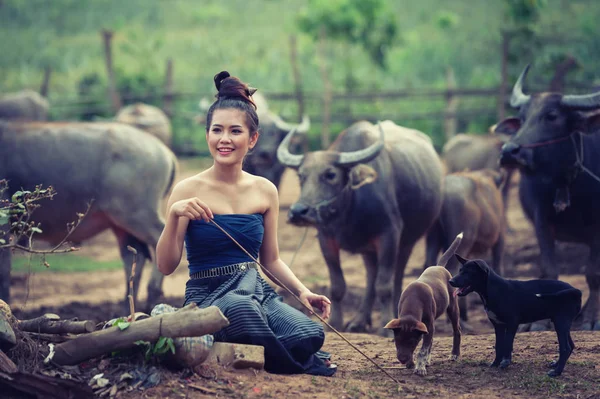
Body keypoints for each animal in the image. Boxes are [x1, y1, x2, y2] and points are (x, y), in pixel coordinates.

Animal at [0, 121, 178, 310]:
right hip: (120, 223)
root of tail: (164, 151)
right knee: (134, 256)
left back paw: (152, 294)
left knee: (159, 238)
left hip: (134, 213)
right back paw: (127, 306)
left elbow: (3, 267)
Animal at [278, 120, 442, 336]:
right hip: (369, 250)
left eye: (330, 174)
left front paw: (386, 325)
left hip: (408, 241)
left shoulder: (389, 236)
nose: (298, 212)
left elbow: (384, 286)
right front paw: (335, 323)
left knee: (397, 276)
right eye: (301, 176)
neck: (349, 210)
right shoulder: (326, 239)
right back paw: (359, 321)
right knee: (371, 277)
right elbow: (338, 286)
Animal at [384, 233, 464, 376]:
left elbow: (422, 350)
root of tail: (439, 266)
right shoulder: (424, 328)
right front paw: (414, 363)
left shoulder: (429, 326)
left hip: (453, 307)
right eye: (397, 340)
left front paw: (420, 367)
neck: (413, 302)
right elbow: (426, 345)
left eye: (412, 342)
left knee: (457, 330)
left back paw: (454, 354)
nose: (403, 360)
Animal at [450, 255, 580, 376]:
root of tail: (575, 290)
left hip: (561, 322)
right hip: (561, 323)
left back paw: (557, 372)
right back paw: (556, 365)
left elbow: (507, 343)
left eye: (468, 272)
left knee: (565, 348)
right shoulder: (498, 325)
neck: (493, 290)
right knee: (571, 346)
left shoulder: (512, 323)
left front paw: (505, 362)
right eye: (460, 270)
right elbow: (498, 346)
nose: (450, 281)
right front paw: (495, 363)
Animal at [494, 64, 600, 330]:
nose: (509, 151)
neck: (568, 183)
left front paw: (592, 318)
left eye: (551, 116)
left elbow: (593, 272)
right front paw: (540, 322)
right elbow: (549, 268)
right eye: (522, 119)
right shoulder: (541, 219)